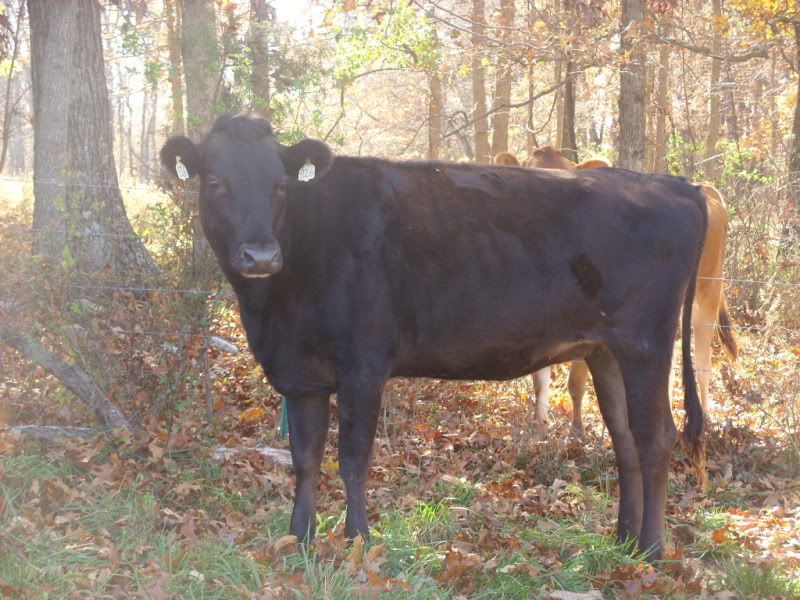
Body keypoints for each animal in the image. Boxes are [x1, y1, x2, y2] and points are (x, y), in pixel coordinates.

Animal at [161, 113, 707, 561]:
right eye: (215, 181)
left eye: (279, 186)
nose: (259, 255)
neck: (276, 308)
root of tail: (677, 185)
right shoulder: (301, 374)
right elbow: (305, 459)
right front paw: (299, 540)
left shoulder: (364, 364)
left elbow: (353, 457)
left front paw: (357, 541)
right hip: (604, 350)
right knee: (625, 440)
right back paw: (624, 543)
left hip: (645, 344)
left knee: (656, 438)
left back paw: (652, 551)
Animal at [496, 147, 737, 434]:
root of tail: (704, 189)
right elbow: (539, 380)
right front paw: (541, 427)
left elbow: (575, 382)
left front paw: (577, 430)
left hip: (708, 290)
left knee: (703, 361)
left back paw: (706, 419)